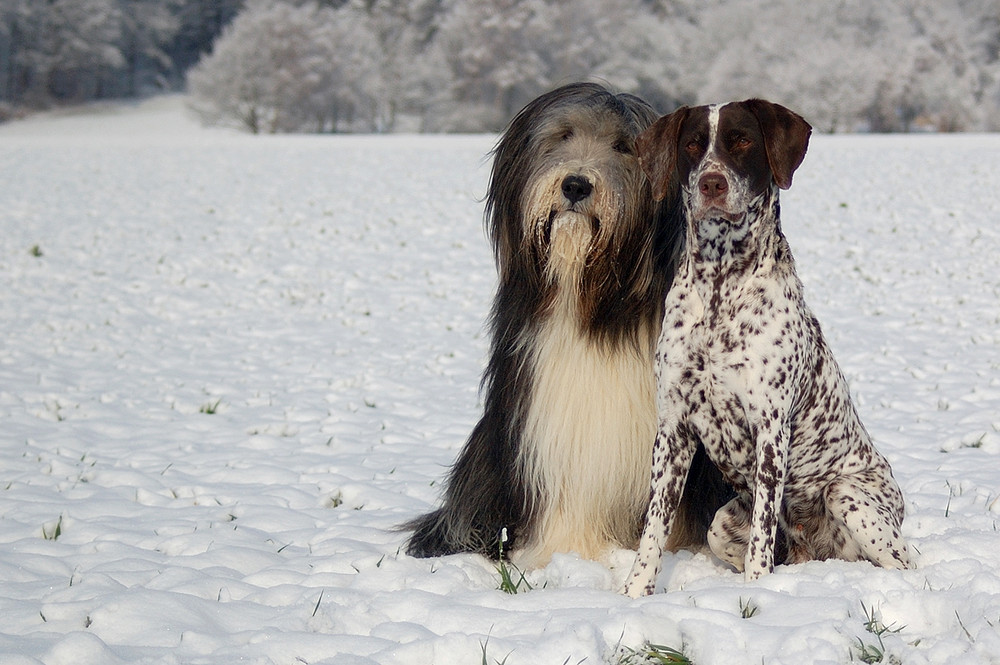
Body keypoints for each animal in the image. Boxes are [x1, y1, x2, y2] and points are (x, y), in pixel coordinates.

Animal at [620, 100, 912, 596]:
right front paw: (634, 593)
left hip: (849, 495)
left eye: (742, 141)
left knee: (905, 562)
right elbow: (654, 528)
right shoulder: (673, 428)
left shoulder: (769, 430)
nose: (711, 183)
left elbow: (760, 536)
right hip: (721, 526)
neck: (720, 284)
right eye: (692, 144)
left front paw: (757, 594)